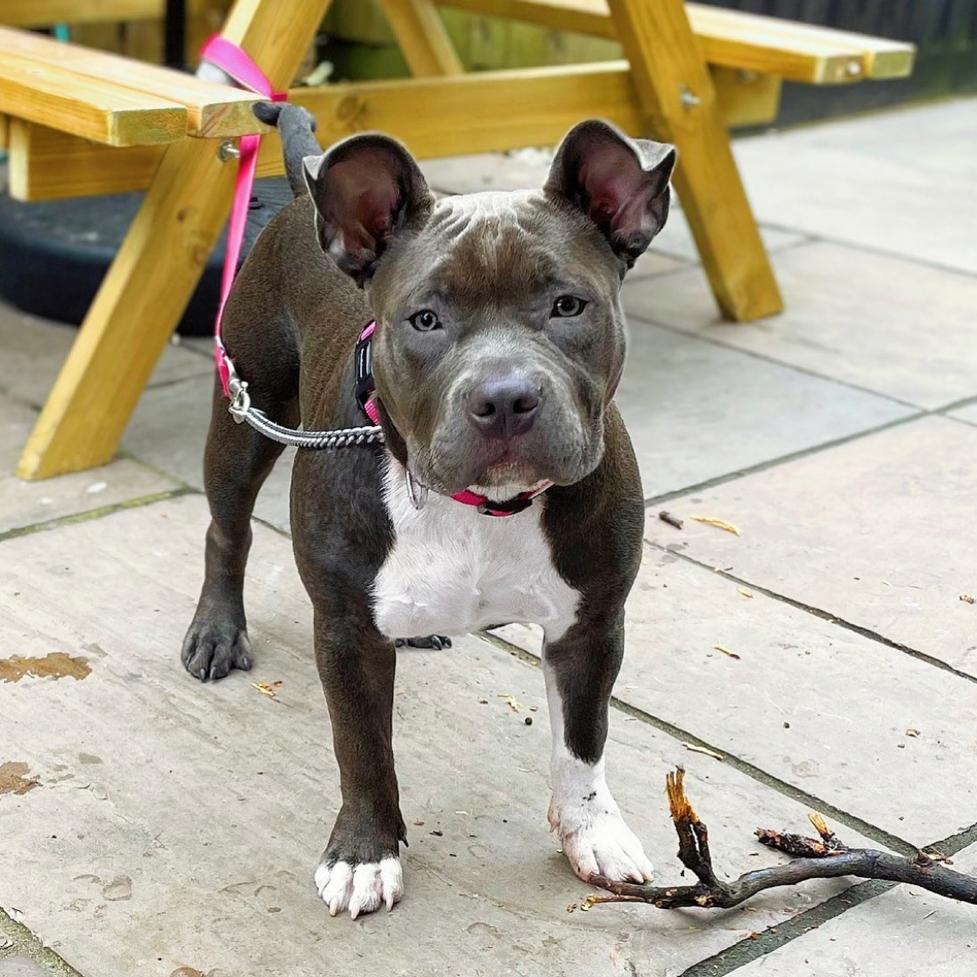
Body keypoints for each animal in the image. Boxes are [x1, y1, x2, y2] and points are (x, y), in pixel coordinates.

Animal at [181, 103, 672, 920]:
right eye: (425, 319)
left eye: (568, 305)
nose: (505, 397)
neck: (482, 507)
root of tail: (306, 190)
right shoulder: (345, 632)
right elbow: (361, 749)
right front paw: (363, 853)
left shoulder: (591, 627)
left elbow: (582, 743)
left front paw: (594, 832)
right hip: (246, 407)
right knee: (228, 530)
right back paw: (217, 629)